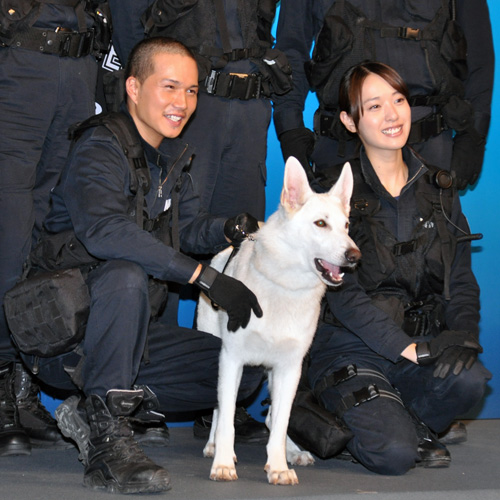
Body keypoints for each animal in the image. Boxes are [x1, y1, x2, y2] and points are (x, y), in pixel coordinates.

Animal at [195, 157, 360, 484]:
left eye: (346, 226)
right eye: (320, 224)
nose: (355, 255)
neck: (286, 286)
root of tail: (223, 251)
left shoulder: (289, 368)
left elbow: (281, 422)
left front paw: (279, 466)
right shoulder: (231, 360)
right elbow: (227, 418)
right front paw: (223, 463)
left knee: (272, 418)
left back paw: (292, 452)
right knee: (219, 408)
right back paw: (213, 446)